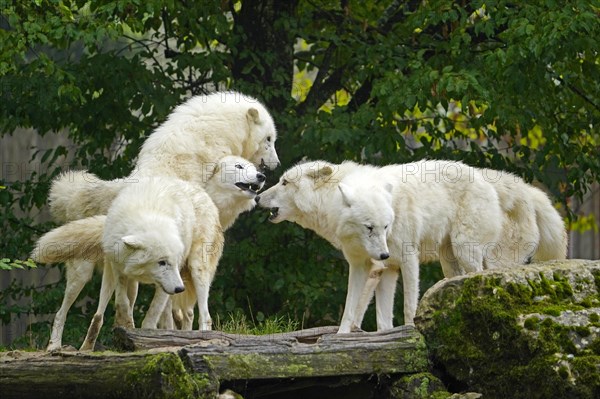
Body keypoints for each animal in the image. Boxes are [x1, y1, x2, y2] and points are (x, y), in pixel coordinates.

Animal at [33, 155, 264, 350]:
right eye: (239, 166)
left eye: (254, 167)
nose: (262, 176)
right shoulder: (124, 269)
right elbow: (128, 305)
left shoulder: (170, 280)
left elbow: (161, 315)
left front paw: (151, 337)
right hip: (82, 275)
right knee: (67, 312)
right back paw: (59, 346)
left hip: (197, 270)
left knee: (204, 316)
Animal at [258, 159, 506, 332]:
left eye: (284, 183)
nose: (258, 197)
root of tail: (485, 179)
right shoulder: (373, 266)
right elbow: (360, 312)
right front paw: (344, 336)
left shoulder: (405, 259)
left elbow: (407, 306)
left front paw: (411, 332)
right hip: (449, 260)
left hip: (465, 251)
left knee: (478, 274)